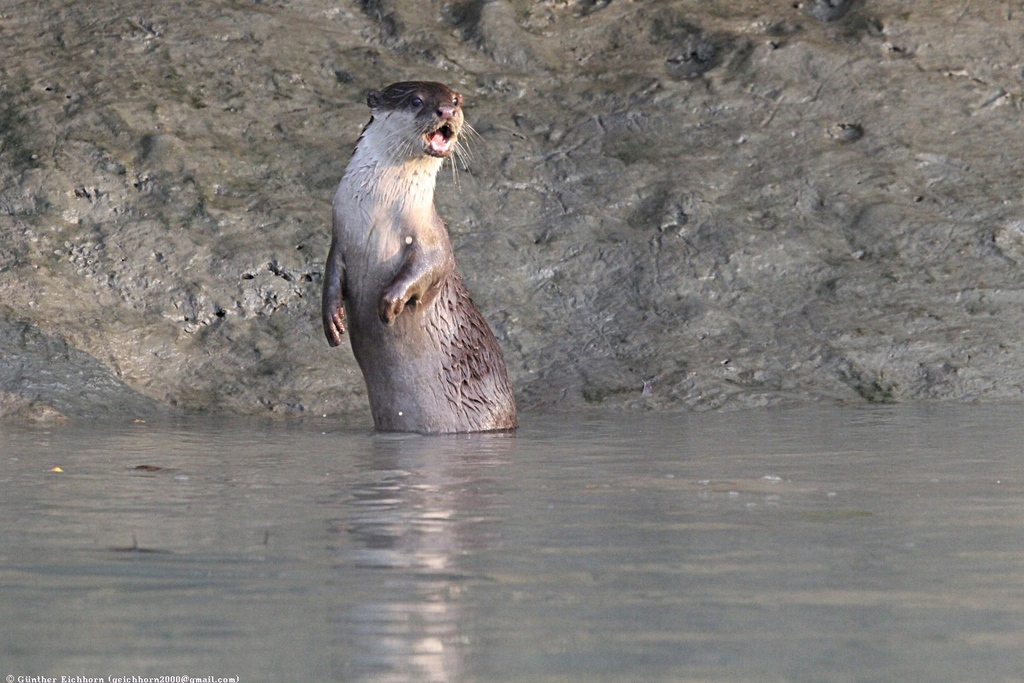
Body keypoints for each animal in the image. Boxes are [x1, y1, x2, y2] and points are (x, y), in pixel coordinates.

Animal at [321, 80, 520, 432]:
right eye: (416, 101)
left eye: (455, 99)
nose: (448, 110)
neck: (380, 214)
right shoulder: (340, 236)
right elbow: (330, 274)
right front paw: (332, 320)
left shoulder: (433, 238)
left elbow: (430, 266)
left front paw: (389, 304)